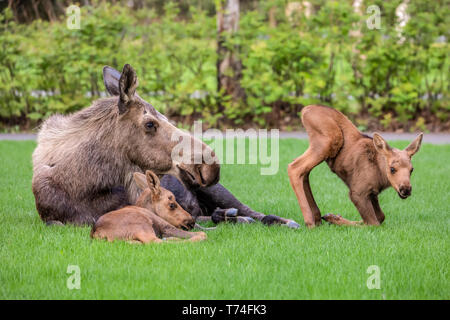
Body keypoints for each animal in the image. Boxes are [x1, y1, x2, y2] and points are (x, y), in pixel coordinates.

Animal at [288, 105, 422, 228]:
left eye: (412, 170)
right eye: (392, 169)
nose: (406, 189)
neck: (381, 176)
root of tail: (305, 110)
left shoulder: (372, 193)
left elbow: (380, 217)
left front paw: (333, 217)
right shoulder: (357, 192)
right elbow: (373, 223)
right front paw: (334, 219)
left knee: (304, 171)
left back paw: (316, 217)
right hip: (329, 140)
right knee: (294, 167)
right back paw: (309, 221)